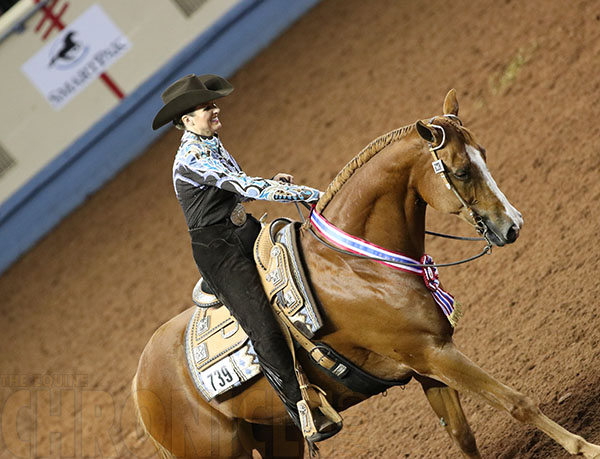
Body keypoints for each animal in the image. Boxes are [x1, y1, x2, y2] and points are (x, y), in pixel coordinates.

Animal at [132, 90, 600, 459]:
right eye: (461, 171)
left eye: (483, 154)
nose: (512, 225)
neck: (357, 266)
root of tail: (139, 381)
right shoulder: (433, 352)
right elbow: (517, 403)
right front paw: (588, 448)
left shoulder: (428, 366)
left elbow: (463, 435)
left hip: (277, 434)